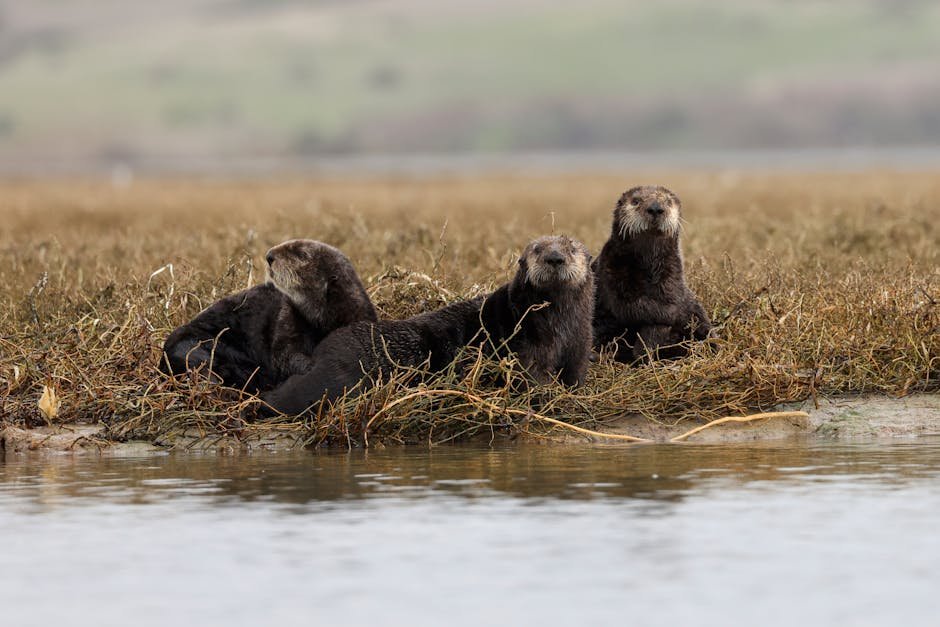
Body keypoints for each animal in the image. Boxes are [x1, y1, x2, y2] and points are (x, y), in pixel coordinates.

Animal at [160, 239, 377, 392]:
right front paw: (312, 366)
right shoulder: (287, 319)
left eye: (302, 254)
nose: (269, 255)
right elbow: (285, 357)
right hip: (195, 341)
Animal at [256, 235, 595, 417]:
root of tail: (323, 354)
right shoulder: (524, 348)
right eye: (537, 249)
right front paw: (551, 395)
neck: (558, 326)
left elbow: (576, 374)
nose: (554, 257)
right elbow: (532, 377)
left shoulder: (579, 344)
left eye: (571, 248)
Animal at [592, 185, 710, 362]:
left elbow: (663, 312)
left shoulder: (671, 274)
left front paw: (643, 351)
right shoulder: (612, 268)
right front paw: (674, 314)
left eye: (668, 201)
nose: (655, 208)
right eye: (635, 201)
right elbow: (631, 306)